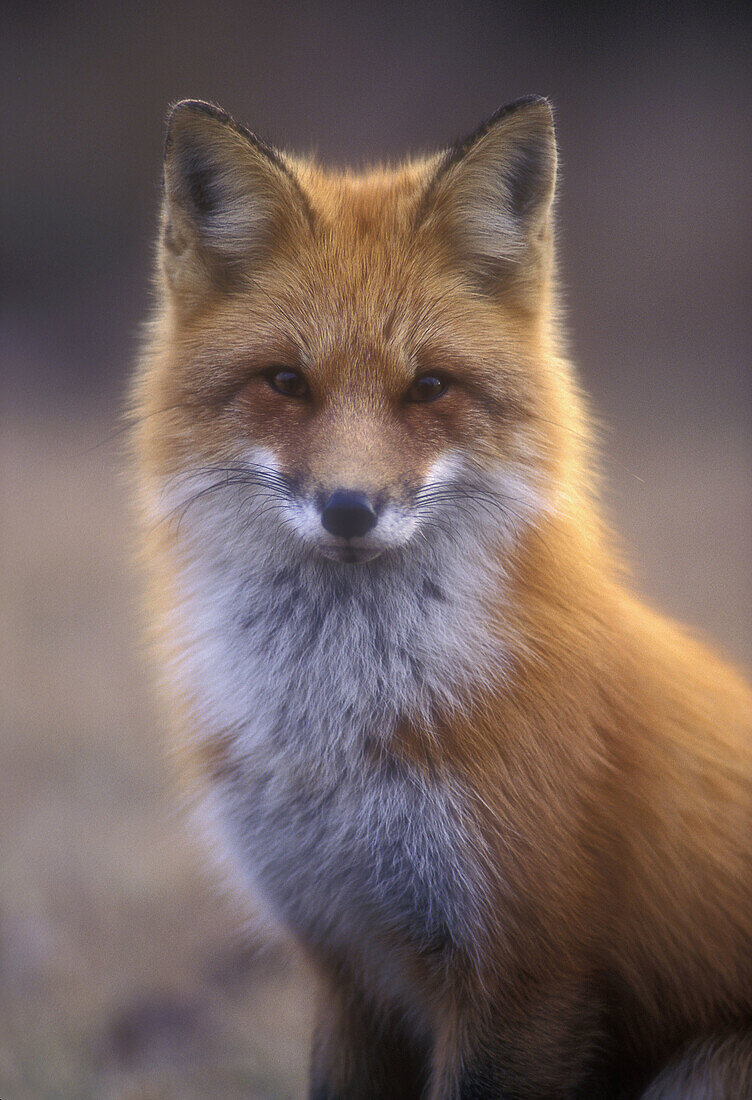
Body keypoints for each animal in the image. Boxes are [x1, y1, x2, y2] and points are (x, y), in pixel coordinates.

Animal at [131, 99, 752, 1095]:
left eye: (428, 387)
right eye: (286, 383)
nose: (350, 508)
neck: (340, 739)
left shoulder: (523, 975)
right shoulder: (345, 965)